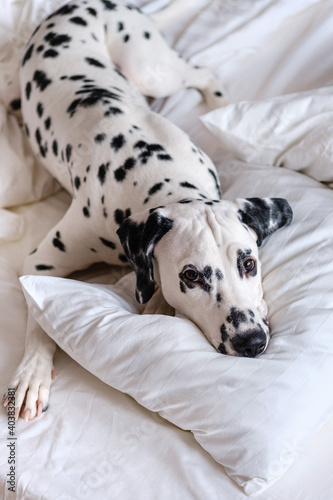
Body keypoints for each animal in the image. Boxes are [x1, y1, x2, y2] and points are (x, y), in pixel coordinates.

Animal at [3, 0, 292, 422]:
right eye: (191, 276)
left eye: (249, 263)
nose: (251, 341)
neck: (155, 178)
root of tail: (82, 4)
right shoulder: (39, 263)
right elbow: (40, 315)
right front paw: (31, 373)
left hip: (152, 71)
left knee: (202, 72)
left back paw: (224, 105)